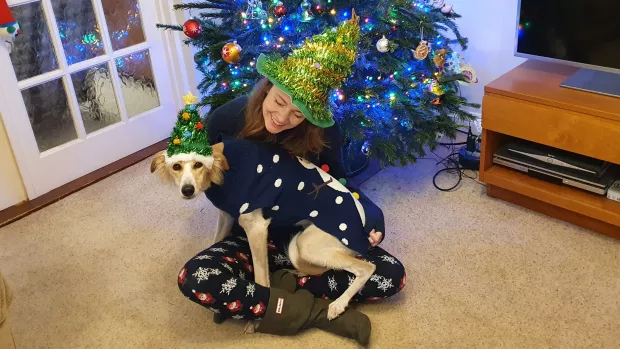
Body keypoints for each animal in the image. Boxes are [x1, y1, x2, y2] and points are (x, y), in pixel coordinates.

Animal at [153, 139, 376, 320]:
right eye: (176, 166)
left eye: (198, 164)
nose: (187, 190)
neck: (224, 170)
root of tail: (363, 230)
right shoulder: (226, 216)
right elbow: (216, 240)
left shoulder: (256, 228)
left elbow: (260, 278)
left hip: (307, 244)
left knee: (367, 268)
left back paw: (338, 304)